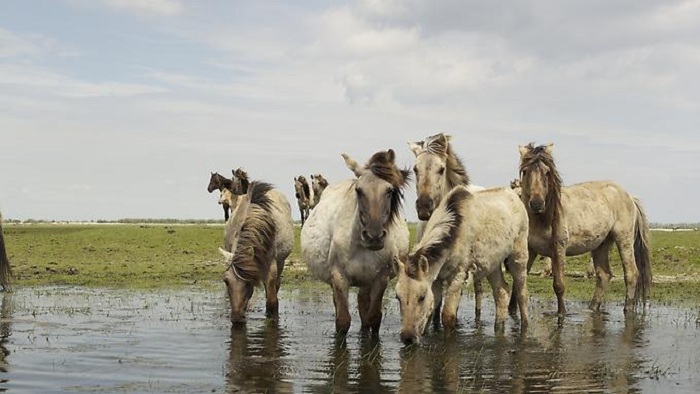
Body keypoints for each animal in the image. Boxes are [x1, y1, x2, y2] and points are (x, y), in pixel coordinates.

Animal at [219, 182, 296, 324]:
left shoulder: (271, 265)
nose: (237, 318)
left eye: (250, 282)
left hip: (281, 262)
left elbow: (272, 300)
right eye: (226, 281)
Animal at [300, 149, 410, 338]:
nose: (374, 236)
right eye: (359, 190)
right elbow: (343, 321)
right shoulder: (339, 278)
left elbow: (374, 318)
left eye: (389, 190)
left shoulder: (380, 280)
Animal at [394, 186, 532, 344]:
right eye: (397, 297)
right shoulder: (436, 279)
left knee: (522, 293)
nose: (407, 338)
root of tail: (514, 195)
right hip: (493, 264)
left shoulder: (458, 276)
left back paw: (524, 329)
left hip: (519, 256)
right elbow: (432, 309)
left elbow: (448, 315)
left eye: (421, 297)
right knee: (501, 292)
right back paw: (498, 329)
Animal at [516, 143, 652, 316]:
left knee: (632, 273)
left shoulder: (558, 249)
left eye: (547, 172)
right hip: (601, 244)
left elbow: (559, 285)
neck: (540, 219)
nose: (537, 204)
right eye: (525, 171)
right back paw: (592, 308)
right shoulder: (529, 249)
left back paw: (627, 309)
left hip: (624, 239)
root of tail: (629, 196)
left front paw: (562, 313)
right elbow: (518, 282)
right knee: (604, 276)